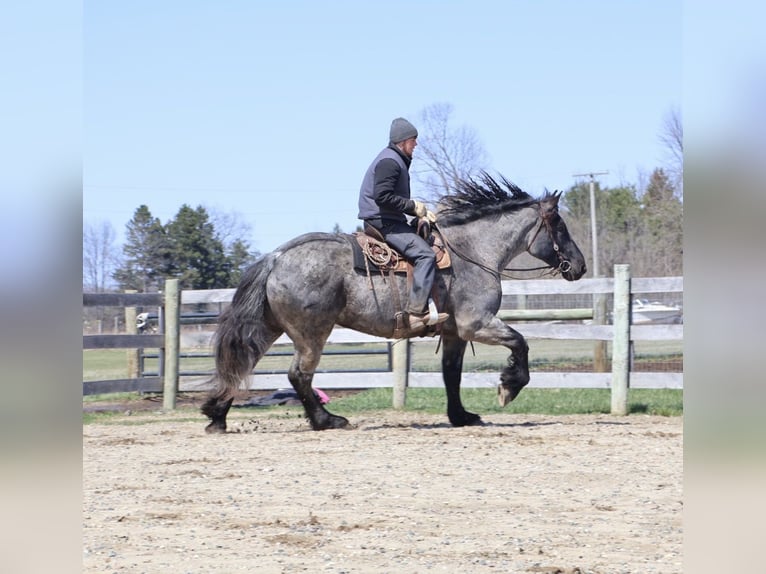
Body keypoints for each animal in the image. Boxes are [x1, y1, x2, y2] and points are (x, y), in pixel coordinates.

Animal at [202, 173, 586, 432]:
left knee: (243, 363)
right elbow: (520, 343)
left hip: (271, 327)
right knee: (299, 375)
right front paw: (508, 387)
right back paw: (327, 420)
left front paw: (461, 416)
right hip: (311, 333)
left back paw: (217, 415)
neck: (472, 252)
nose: (579, 266)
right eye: (560, 226)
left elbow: (451, 374)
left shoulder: (453, 333)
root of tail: (276, 257)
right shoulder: (475, 324)